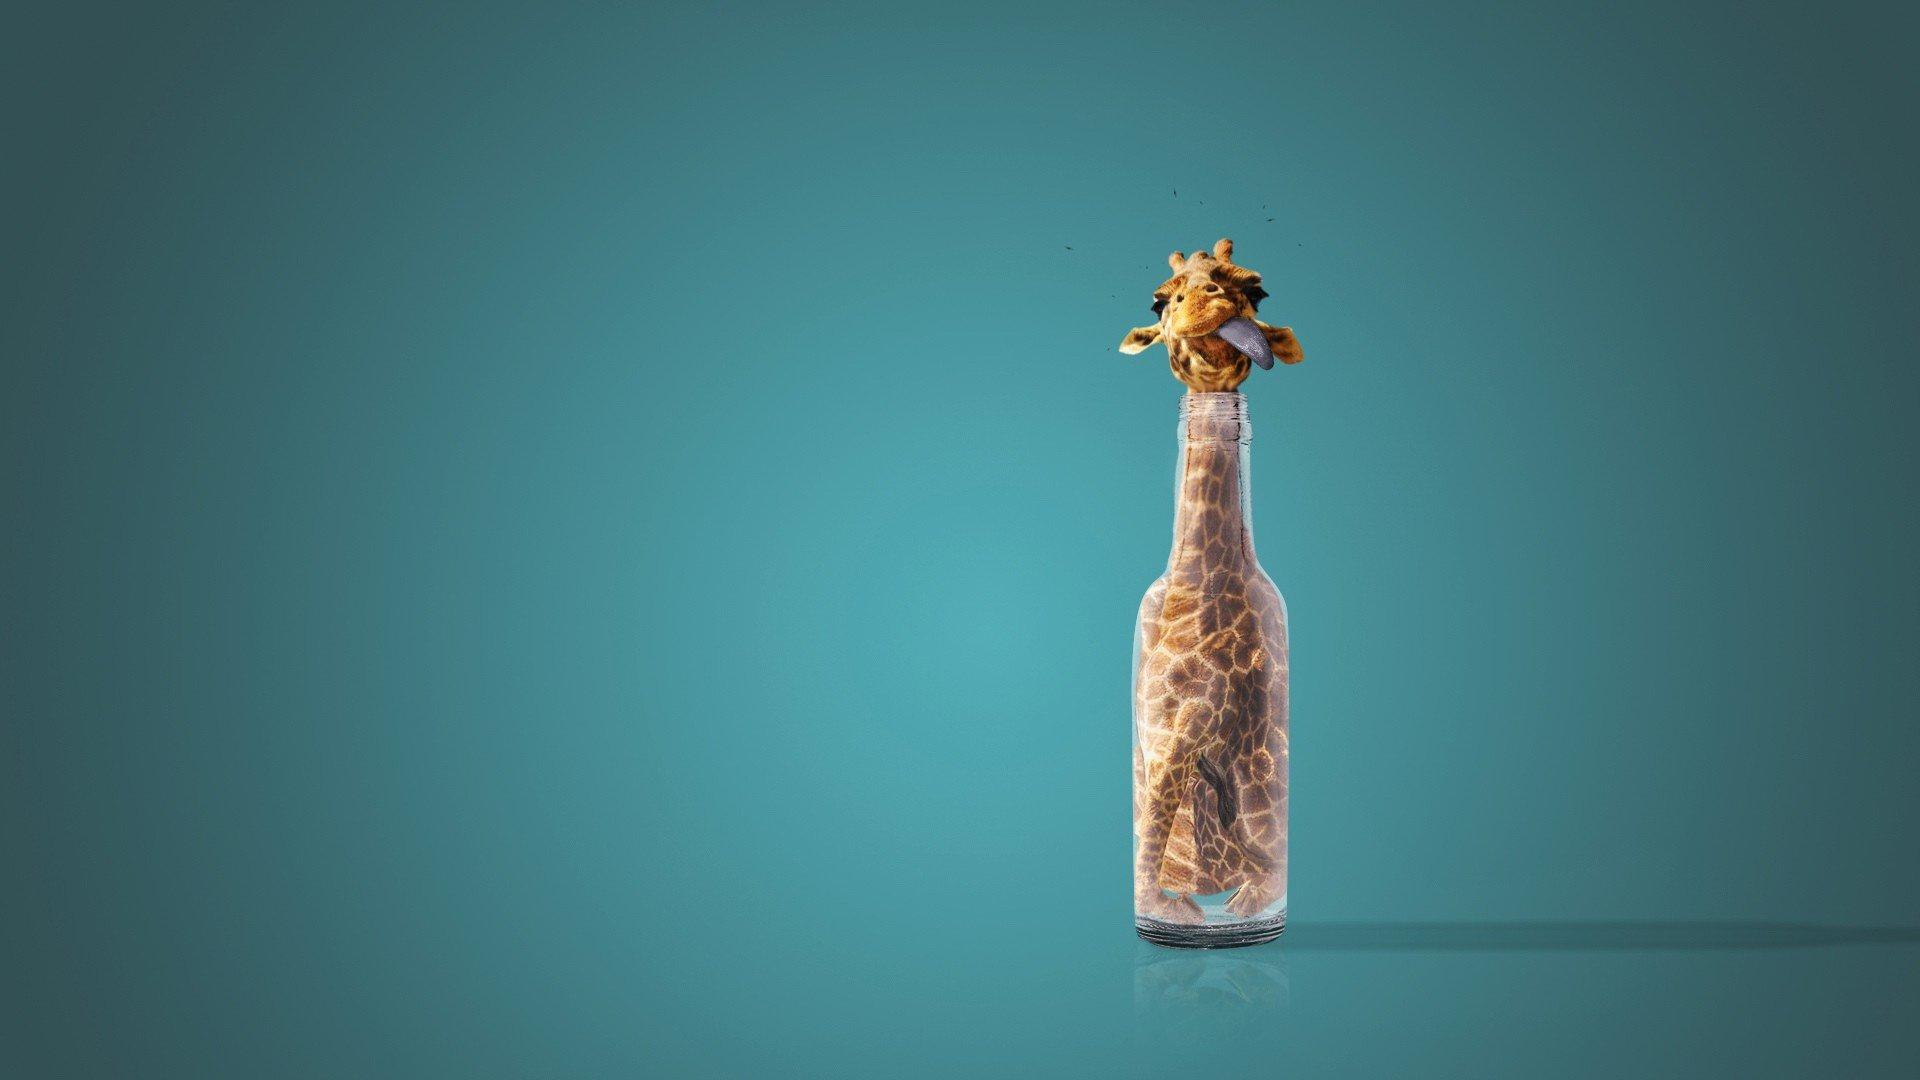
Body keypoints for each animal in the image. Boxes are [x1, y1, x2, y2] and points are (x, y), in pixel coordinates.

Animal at [1123, 239, 1298, 932]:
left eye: (1256, 288)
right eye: (1159, 300)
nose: (1214, 305)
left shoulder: (1202, 714)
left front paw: (1207, 910)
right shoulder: (1160, 721)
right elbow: (1153, 811)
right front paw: (1168, 912)